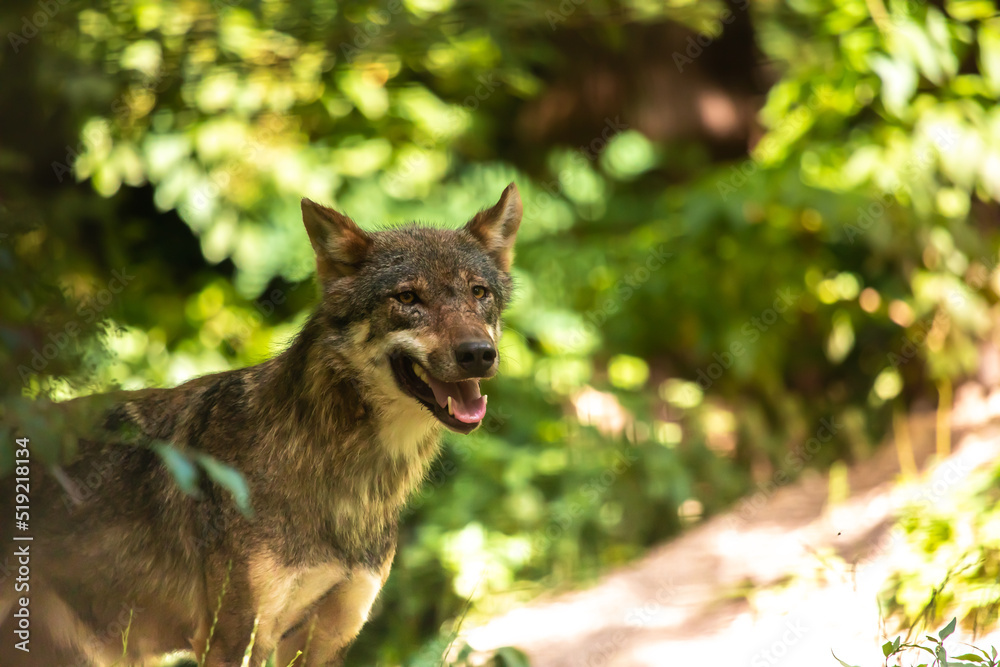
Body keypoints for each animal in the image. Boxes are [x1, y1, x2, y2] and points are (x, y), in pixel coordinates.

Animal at [0, 183, 522, 667]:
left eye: (479, 293)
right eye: (408, 297)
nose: (478, 354)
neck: (349, 479)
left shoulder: (325, 640)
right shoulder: (235, 638)